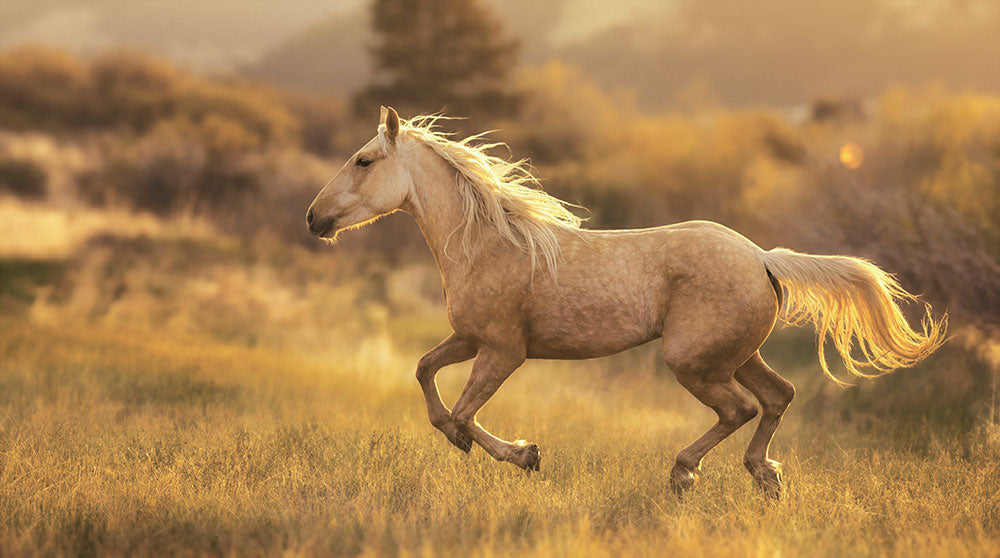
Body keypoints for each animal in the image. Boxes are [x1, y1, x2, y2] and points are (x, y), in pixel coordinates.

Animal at [306, 106, 947, 497]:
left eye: (364, 160)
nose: (314, 218)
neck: (488, 243)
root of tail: (762, 257)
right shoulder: (468, 338)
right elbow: (424, 373)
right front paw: (471, 442)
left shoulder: (503, 351)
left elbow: (464, 411)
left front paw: (525, 454)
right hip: (736, 356)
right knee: (777, 397)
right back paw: (764, 476)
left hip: (691, 360)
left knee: (738, 409)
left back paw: (685, 475)